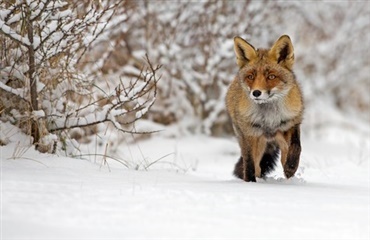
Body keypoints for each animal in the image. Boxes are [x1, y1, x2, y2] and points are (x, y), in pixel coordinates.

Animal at [225, 35, 304, 182]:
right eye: (250, 77)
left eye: (271, 76)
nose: (256, 93)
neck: (269, 118)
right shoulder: (250, 133)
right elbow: (250, 164)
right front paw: (250, 182)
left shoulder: (291, 124)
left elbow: (296, 146)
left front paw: (291, 166)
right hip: (255, 141)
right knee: (257, 166)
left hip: (279, 138)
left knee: (284, 154)